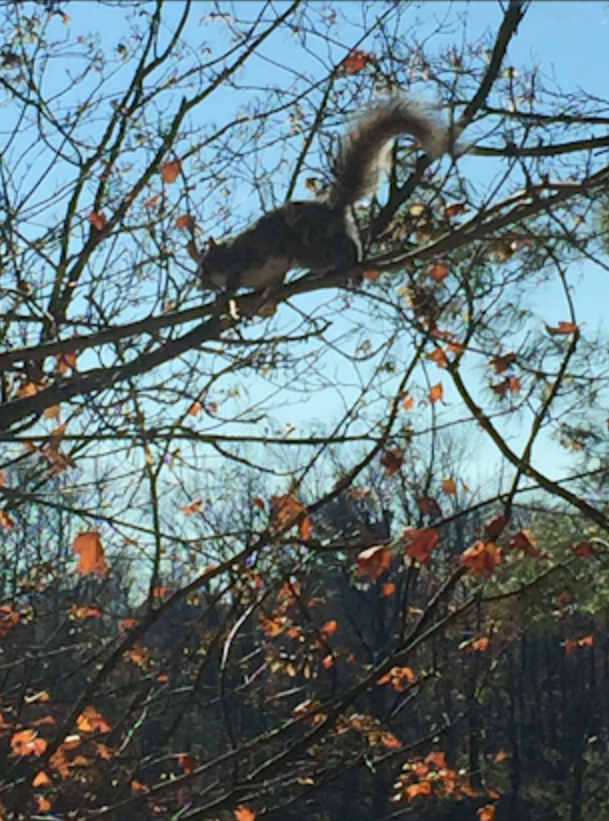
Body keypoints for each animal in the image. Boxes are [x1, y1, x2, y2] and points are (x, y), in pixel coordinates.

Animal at [197, 97, 448, 294]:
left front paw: (225, 293)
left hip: (309, 248)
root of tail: (331, 209)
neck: (228, 251)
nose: (200, 284)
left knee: (338, 250)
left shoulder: (243, 258)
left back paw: (348, 262)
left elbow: (236, 274)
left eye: (206, 264)